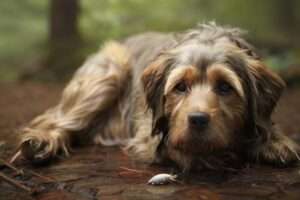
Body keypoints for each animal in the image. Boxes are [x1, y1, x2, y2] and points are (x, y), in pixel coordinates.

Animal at [18, 22, 298, 171]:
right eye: (180, 86)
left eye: (225, 87)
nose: (197, 120)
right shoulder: (149, 135)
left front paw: (274, 141)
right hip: (109, 72)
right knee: (58, 121)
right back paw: (43, 141)